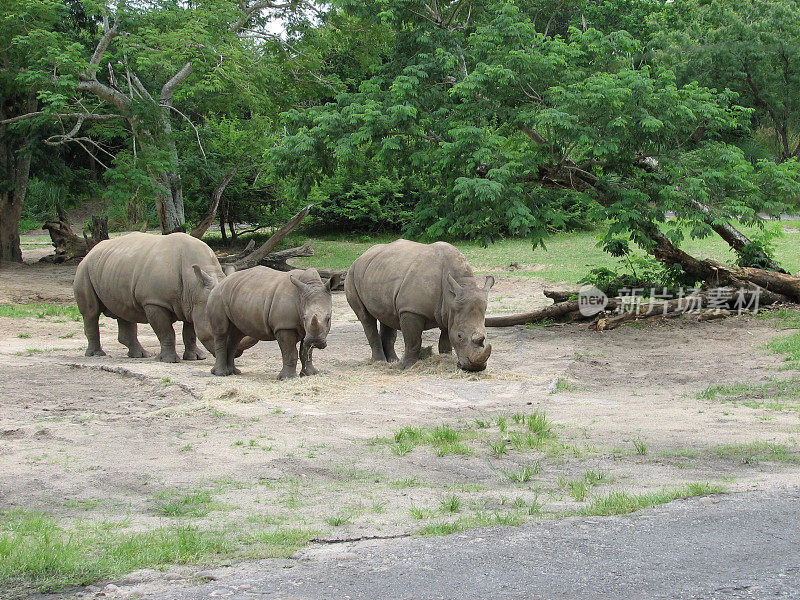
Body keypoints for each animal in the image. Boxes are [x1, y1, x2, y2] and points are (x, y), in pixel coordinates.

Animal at [74, 231, 227, 360]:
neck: (195, 286)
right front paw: (169, 360)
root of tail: (91, 251)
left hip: (114, 267)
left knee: (124, 311)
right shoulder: (154, 302)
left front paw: (195, 357)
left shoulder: (191, 304)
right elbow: (166, 331)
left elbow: (190, 332)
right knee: (91, 313)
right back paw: (96, 355)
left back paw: (140, 355)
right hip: (84, 269)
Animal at [206, 268, 334, 380]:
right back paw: (221, 373)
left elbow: (306, 351)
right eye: (304, 317)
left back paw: (234, 372)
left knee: (236, 335)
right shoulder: (284, 326)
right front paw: (287, 378)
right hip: (218, 296)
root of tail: (220, 282)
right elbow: (290, 352)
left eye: (328, 318)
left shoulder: (307, 332)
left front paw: (310, 374)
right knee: (221, 332)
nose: (316, 341)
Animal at [346, 239, 494, 370]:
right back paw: (380, 362)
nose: (475, 368)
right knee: (365, 317)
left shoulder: (449, 312)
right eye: (460, 336)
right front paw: (408, 367)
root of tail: (361, 256)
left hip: (380, 272)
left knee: (387, 316)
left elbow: (445, 340)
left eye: (486, 335)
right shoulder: (411, 310)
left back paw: (393, 361)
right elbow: (413, 341)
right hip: (351, 274)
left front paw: (445, 358)